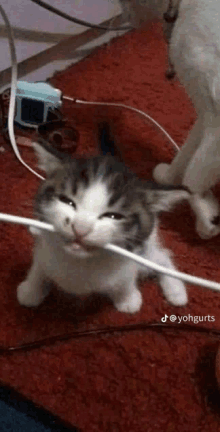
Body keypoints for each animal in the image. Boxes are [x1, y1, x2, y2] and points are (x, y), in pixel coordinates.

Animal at [16, 129, 189, 314]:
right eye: (67, 201)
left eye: (113, 216)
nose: (80, 228)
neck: (81, 261)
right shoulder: (43, 249)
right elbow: (40, 267)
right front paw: (31, 290)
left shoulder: (132, 255)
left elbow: (126, 278)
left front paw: (127, 298)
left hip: (146, 247)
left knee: (162, 256)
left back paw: (176, 290)